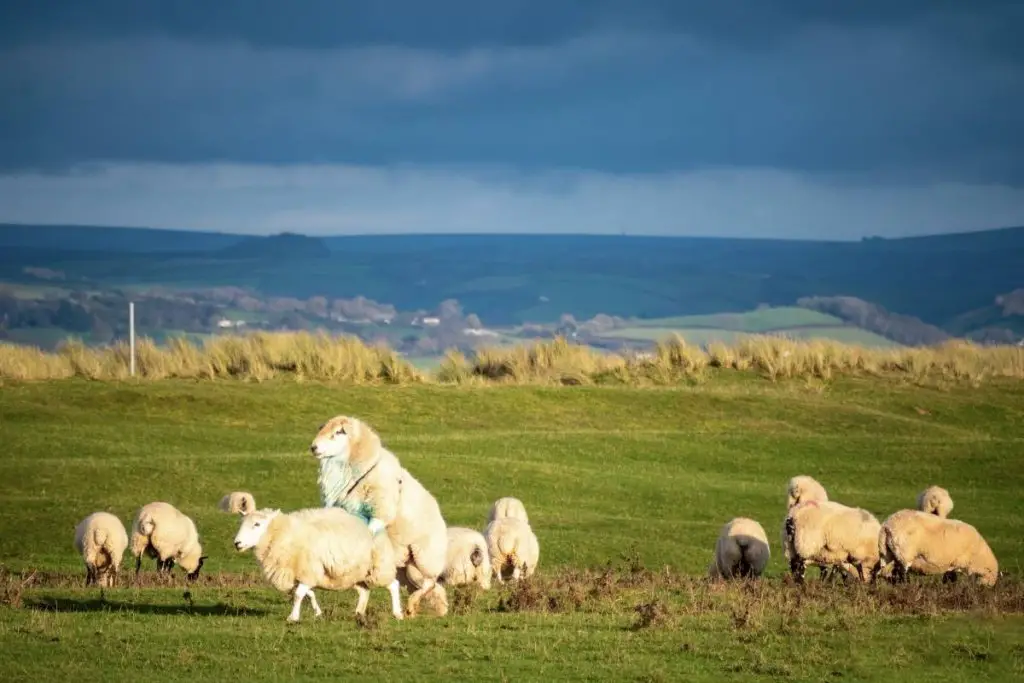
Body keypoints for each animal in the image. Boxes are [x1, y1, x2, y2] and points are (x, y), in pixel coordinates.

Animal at [235, 505, 403, 622]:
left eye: (257, 524)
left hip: (379, 568)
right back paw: (358, 613)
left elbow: (298, 595)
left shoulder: (308, 570)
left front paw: (293, 617)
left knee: (393, 585)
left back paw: (397, 613)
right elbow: (308, 593)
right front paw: (318, 612)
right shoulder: (301, 574)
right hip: (355, 573)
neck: (284, 533)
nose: (237, 543)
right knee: (364, 591)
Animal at [309, 413, 450, 618]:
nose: (314, 447)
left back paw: (411, 605)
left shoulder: (380, 511)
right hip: (407, 569)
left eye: (339, 432)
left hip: (424, 558)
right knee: (428, 587)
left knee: (430, 583)